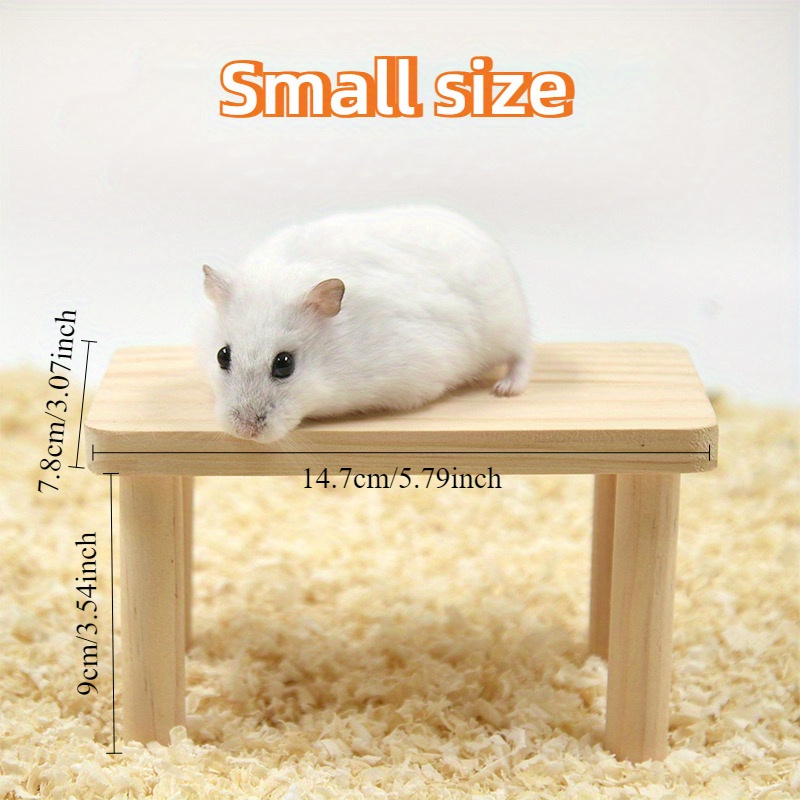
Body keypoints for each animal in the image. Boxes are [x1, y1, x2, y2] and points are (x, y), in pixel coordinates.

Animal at [198, 206, 532, 442]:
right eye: (222, 355)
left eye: (284, 363)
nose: (245, 432)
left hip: (510, 325)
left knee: (524, 355)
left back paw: (505, 389)